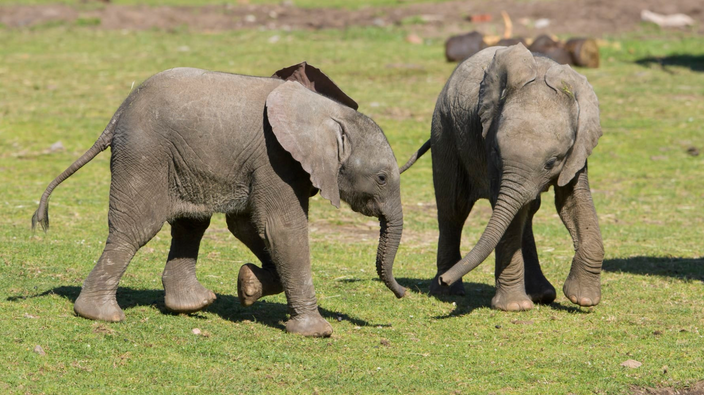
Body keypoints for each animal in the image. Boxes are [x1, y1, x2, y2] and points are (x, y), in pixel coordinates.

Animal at [34, 62, 408, 338]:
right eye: (382, 178)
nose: (403, 293)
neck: (329, 113)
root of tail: (117, 114)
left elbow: (247, 225)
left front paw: (248, 285)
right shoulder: (275, 157)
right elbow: (281, 228)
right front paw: (316, 332)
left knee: (190, 225)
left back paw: (192, 305)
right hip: (145, 152)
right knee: (137, 228)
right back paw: (101, 315)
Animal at [402, 44, 604, 312]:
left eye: (552, 161)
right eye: (497, 150)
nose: (446, 279)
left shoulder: (577, 151)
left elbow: (573, 203)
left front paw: (584, 299)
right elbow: (508, 214)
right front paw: (514, 307)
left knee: (525, 209)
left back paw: (540, 294)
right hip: (444, 130)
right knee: (453, 208)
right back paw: (447, 291)